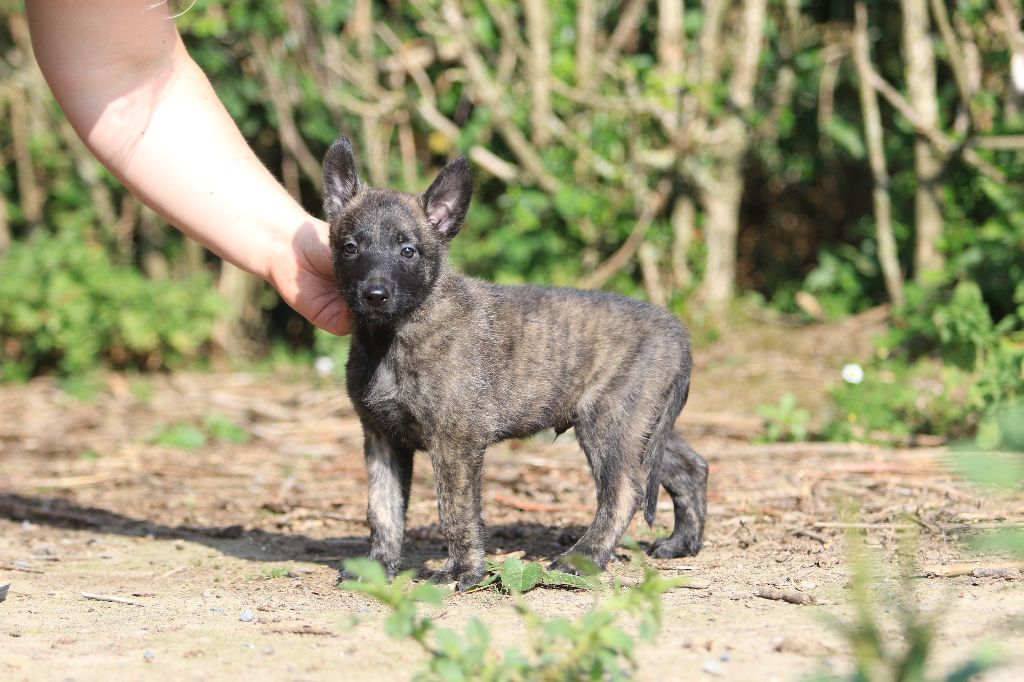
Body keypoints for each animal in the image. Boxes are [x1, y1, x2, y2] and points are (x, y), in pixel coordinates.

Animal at [323, 137, 708, 591]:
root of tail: (678, 333)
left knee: (625, 491)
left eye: (408, 250)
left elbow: (455, 511)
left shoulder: (455, 442)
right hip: (644, 428)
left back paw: (582, 558)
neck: (395, 335)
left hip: (610, 423)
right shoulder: (382, 438)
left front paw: (462, 570)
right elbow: (382, 510)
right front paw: (377, 567)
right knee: (689, 468)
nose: (375, 294)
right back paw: (683, 544)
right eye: (351, 247)